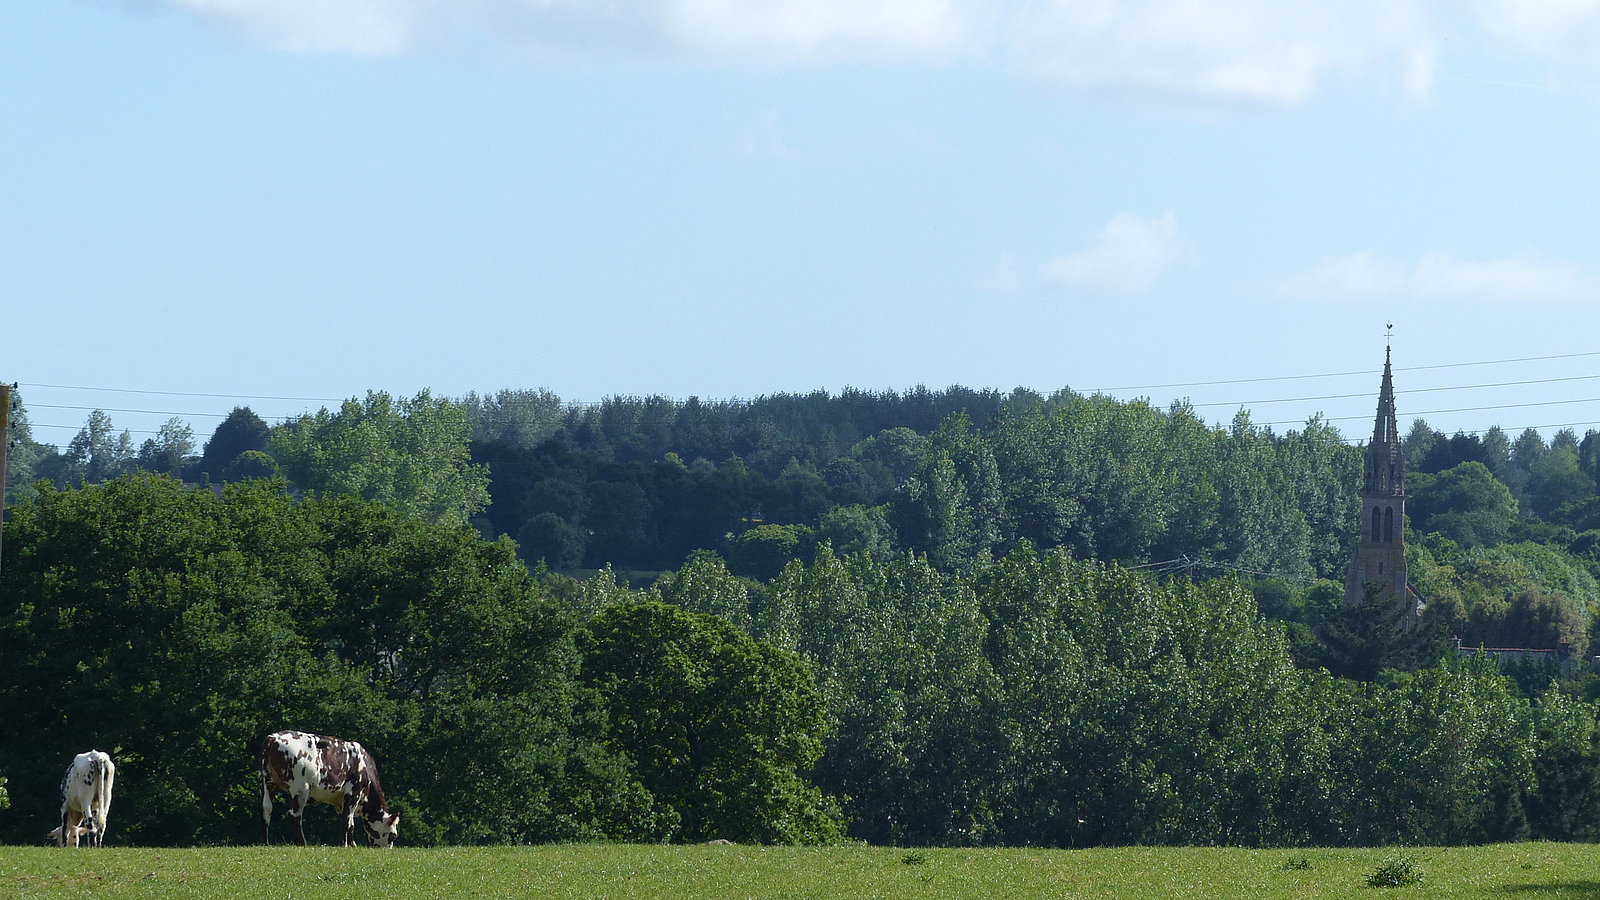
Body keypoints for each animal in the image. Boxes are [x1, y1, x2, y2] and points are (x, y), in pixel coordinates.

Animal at [259, 723, 400, 845]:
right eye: (393, 835)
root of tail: (273, 738)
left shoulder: (341, 800)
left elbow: (350, 823)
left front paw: (352, 844)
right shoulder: (353, 792)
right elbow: (346, 820)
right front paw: (344, 844)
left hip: (268, 782)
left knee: (266, 808)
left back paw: (265, 842)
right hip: (301, 788)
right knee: (294, 815)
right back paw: (303, 843)